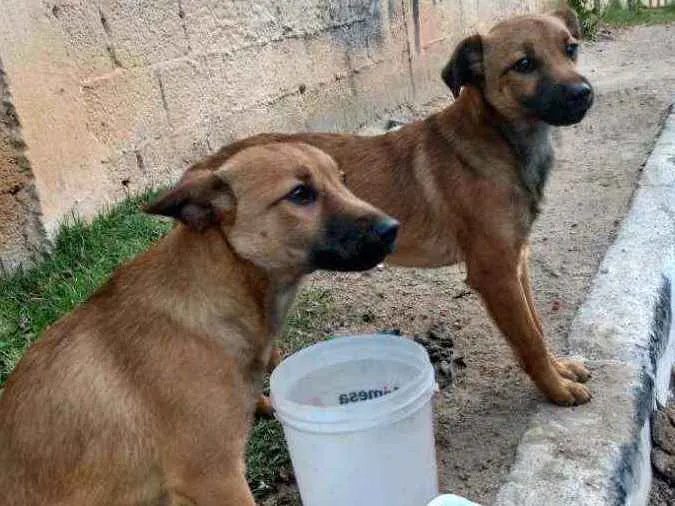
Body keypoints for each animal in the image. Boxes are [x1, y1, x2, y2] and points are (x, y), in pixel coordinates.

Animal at [182, 6, 596, 408]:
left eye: (570, 49)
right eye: (524, 64)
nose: (583, 93)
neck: (500, 140)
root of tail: (211, 167)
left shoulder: (516, 261)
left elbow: (537, 326)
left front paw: (561, 370)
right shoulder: (494, 272)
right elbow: (529, 339)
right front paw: (556, 390)